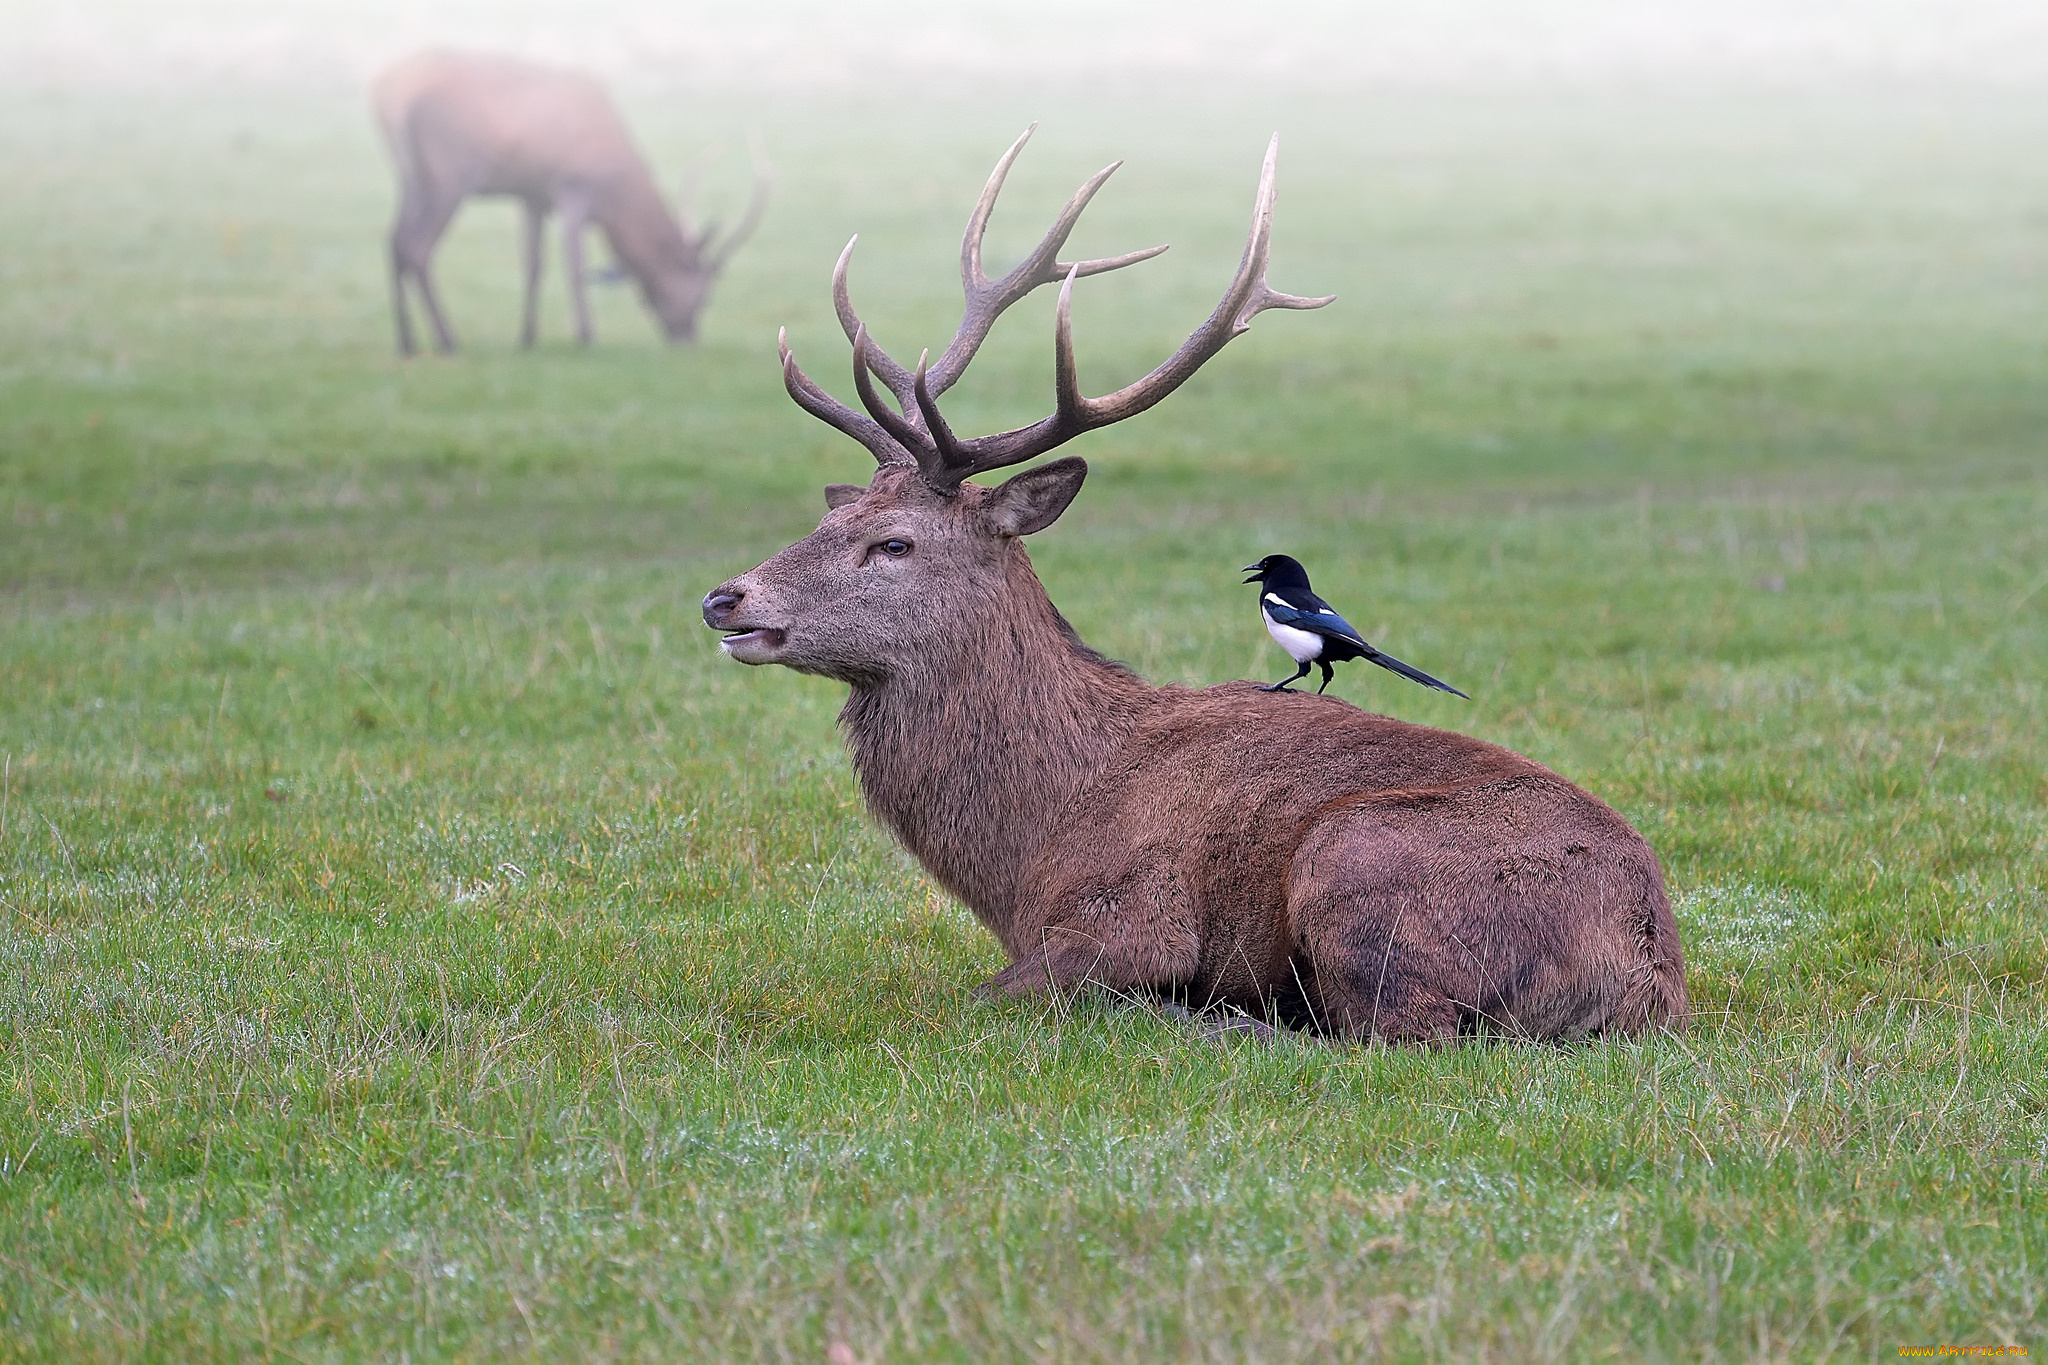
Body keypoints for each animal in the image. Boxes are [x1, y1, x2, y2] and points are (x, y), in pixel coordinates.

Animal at [370, 50, 770, 356]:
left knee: (394, 242)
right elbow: (575, 265)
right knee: (418, 248)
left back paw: (406, 342)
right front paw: (586, 335)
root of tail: (390, 100)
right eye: (706, 297)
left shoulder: (532, 196)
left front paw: (528, 337)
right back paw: (446, 339)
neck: (617, 185)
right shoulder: (572, 187)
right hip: (450, 178)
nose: (687, 338)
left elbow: (534, 265)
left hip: (411, 179)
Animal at [696, 130, 1687, 1047]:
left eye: (893, 542)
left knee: (1399, 1032)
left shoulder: (1133, 916)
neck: (1030, 843)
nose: (726, 598)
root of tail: (1655, 973)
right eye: (829, 519)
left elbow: (979, 996)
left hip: (1355, 857)